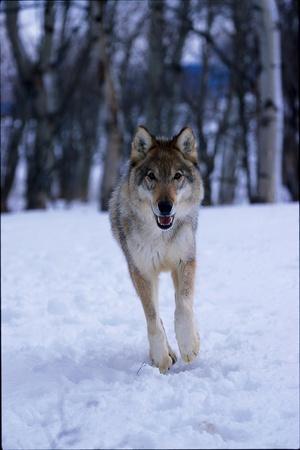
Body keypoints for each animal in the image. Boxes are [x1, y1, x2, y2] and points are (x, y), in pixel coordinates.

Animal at [109, 125, 205, 372]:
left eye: (177, 176)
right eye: (151, 176)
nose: (165, 206)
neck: (161, 236)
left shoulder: (185, 261)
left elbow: (183, 305)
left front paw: (189, 345)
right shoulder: (142, 272)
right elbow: (152, 318)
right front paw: (161, 356)